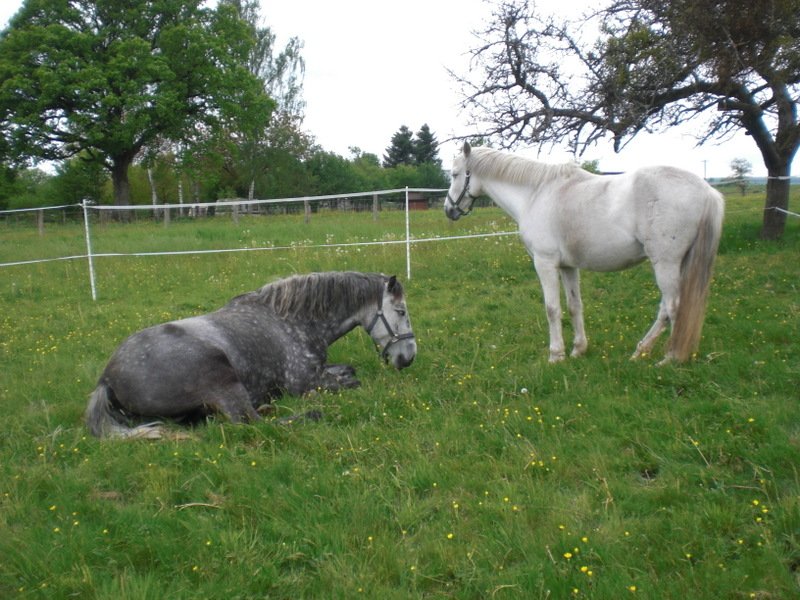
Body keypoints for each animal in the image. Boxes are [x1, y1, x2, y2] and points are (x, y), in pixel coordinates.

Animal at [85, 272, 416, 438]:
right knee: (250, 422)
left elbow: (348, 370)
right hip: (222, 380)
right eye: (401, 311)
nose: (408, 358)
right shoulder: (303, 382)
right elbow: (351, 382)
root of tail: (106, 379)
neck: (291, 320)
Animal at [444, 142, 724, 364]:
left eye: (455, 174)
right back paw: (642, 351)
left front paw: (556, 355)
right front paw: (579, 349)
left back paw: (669, 358)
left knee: (672, 307)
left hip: (665, 263)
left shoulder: (545, 263)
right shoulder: (568, 266)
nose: (449, 209)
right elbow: (574, 305)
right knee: (669, 308)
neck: (536, 193)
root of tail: (707, 191)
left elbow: (552, 308)